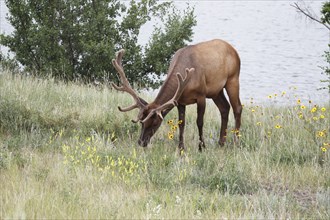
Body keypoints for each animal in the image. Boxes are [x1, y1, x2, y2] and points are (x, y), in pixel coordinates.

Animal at [112, 39, 244, 151]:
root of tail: (234, 51)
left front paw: (202, 147)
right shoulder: (180, 101)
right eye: (142, 122)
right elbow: (181, 124)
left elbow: (199, 122)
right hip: (216, 91)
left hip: (233, 78)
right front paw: (181, 148)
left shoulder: (201, 95)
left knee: (237, 108)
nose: (141, 142)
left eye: (155, 123)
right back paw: (221, 142)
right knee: (225, 108)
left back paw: (235, 142)